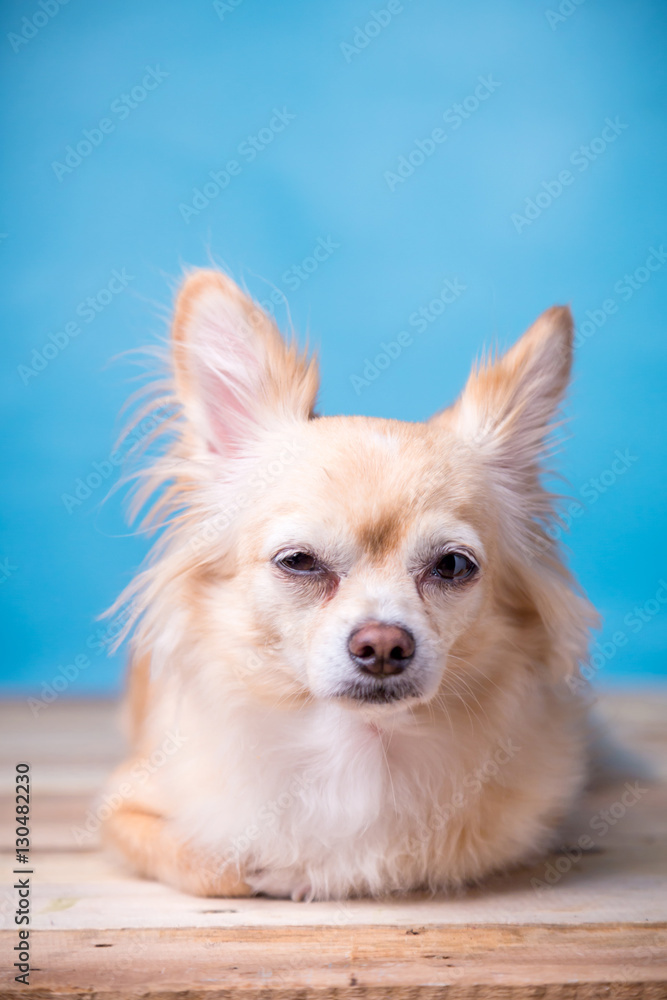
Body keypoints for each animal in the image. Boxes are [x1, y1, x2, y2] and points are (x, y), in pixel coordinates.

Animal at [103, 270, 596, 904]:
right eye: (299, 562)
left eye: (453, 566)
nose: (383, 643)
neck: (364, 745)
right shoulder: (120, 807)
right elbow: (221, 868)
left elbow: (444, 857)